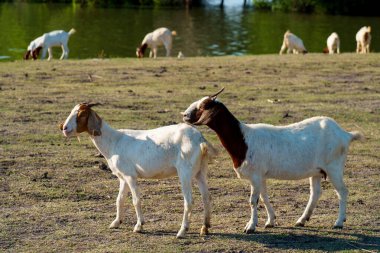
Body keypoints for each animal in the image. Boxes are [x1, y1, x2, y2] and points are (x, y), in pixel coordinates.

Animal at [59, 103, 215, 237]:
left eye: (81, 114)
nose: (64, 128)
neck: (113, 141)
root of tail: (200, 139)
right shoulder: (122, 177)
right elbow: (119, 199)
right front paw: (116, 222)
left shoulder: (130, 176)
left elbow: (136, 200)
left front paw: (139, 226)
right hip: (200, 171)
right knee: (206, 197)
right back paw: (205, 228)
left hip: (185, 172)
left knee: (189, 200)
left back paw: (182, 231)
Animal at [183, 88, 364, 233]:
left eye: (203, 106)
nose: (184, 115)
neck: (244, 139)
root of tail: (345, 134)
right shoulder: (261, 176)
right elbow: (264, 197)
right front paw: (270, 221)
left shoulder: (255, 175)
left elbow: (253, 201)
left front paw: (250, 226)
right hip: (317, 171)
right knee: (315, 193)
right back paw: (301, 220)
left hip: (334, 167)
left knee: (342, 191)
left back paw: (338, 222)